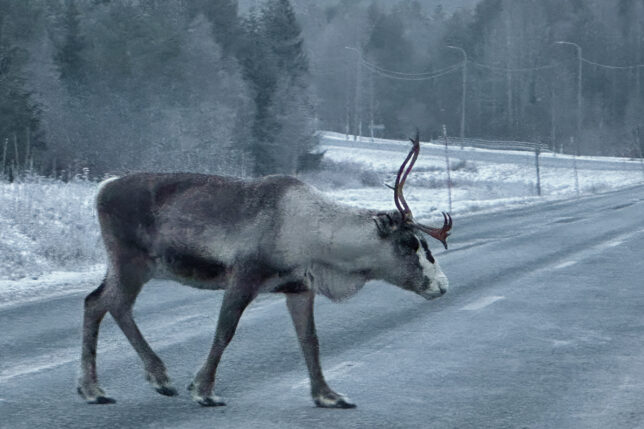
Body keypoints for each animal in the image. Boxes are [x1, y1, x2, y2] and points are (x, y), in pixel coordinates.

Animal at [77, 134, 452, 409]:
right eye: (410, 243)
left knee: (96, 302)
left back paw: (100, 387)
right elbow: (224, 332)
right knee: (113, 304)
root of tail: (101, 189)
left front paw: (328, 395)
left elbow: (310, 341)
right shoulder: (245, 276)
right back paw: (145, 381)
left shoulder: (299, 288)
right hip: (130, 261)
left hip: (133, 266)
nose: (443, 285)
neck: (318, 240)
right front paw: (204, 390)